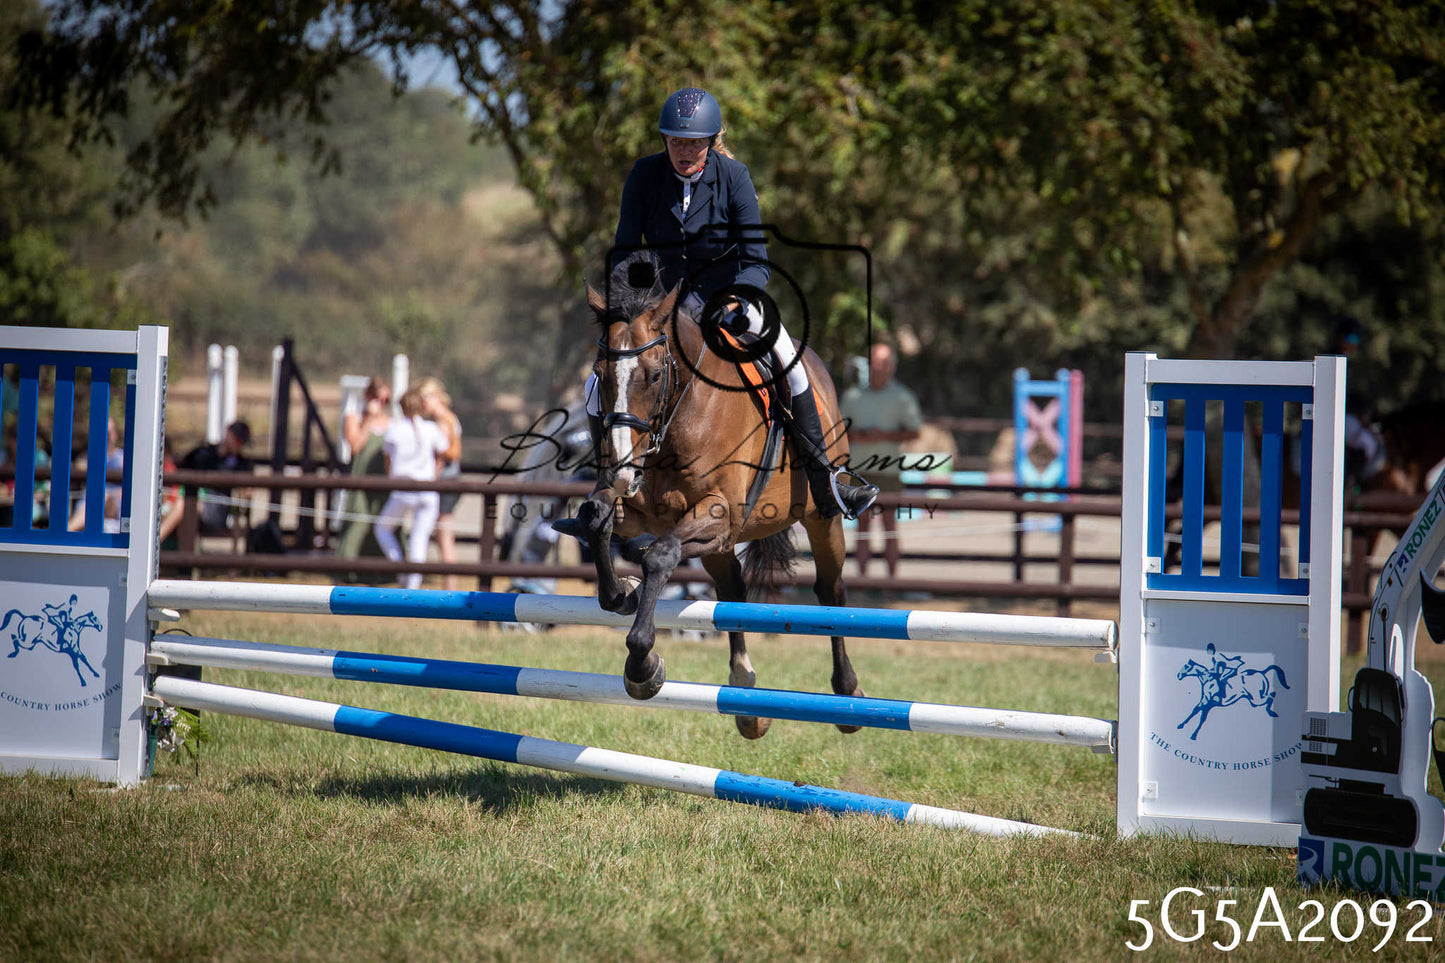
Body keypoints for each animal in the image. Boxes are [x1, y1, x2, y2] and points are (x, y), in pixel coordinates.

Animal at [557, 256, 863, 739]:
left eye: (655, 375)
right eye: (599, 376)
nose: (623, 468)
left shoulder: (719, 514)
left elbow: (660, 555)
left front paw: (642, 665)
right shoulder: (645, 512)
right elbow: (594, 518)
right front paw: (622, 593)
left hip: (821, 518)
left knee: (830, 591)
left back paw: (847, 694)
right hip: (717, 545)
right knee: (731, 589)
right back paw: (745, 696)